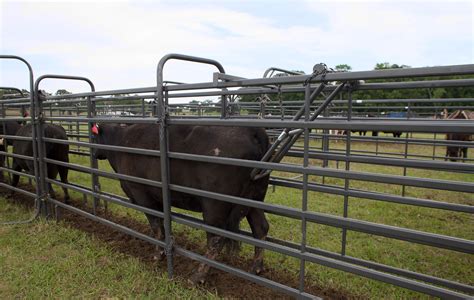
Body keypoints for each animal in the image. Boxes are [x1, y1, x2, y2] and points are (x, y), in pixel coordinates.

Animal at [92, 123, 270, 284]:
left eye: (93, 137)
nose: (93, 153)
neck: (121, 139)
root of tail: (252, 130)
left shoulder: (141, 194)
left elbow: (156, 225)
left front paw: (157, 254)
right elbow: (162, 226)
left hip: (215, 206)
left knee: (216, 239)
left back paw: (198, 276)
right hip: (255, 198)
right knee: (260, 227)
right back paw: (256, 268)